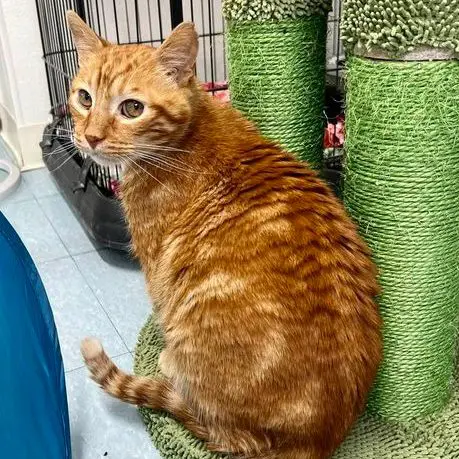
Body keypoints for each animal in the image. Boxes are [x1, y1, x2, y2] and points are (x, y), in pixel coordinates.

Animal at [68, 11, 382, 459]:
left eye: (132, 108)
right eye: (85, 98)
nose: (89, 137)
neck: (185, 136)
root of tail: (312, 440)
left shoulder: (156, 264)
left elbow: (160, 306)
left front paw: (164, 351)